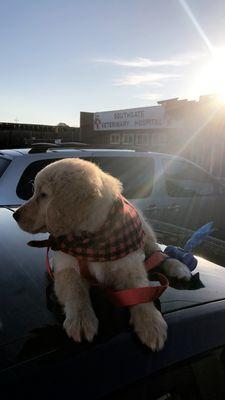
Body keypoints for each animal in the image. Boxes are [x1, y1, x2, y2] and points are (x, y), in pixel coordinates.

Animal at [13, 158, 191, 352]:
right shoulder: (66, 265)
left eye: (43, 195)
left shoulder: (129, 264)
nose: (16, 215)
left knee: (157, 253)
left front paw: (151, 323)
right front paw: (81, 319)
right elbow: (75, 289)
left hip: (145, 232)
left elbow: (141, 290)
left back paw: (179, 268)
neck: (91, 239)